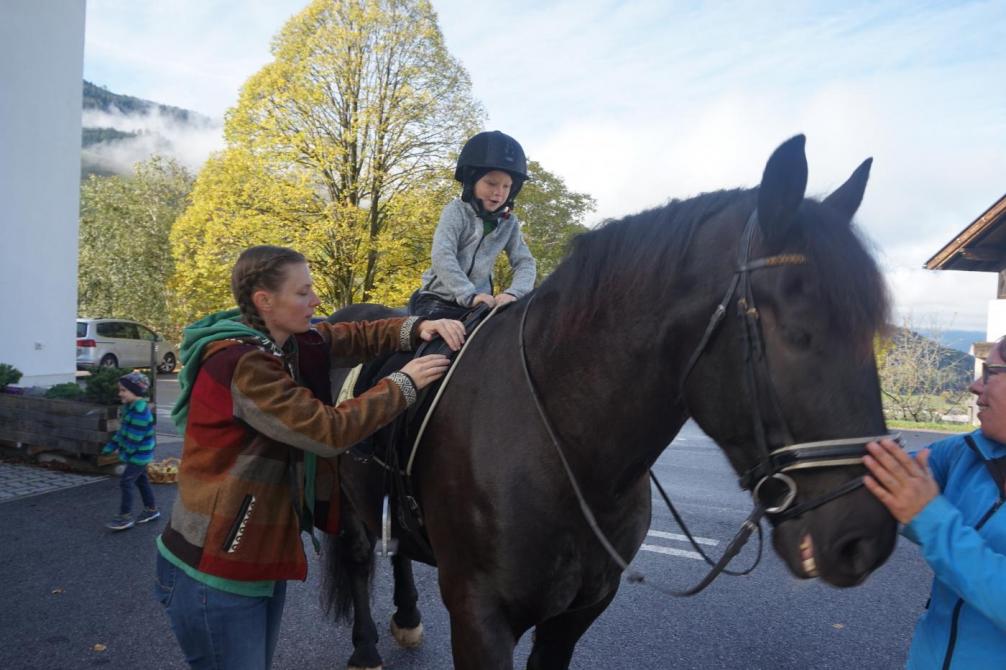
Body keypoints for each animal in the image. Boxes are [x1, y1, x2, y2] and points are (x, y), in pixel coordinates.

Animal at [319, 135, 897, 667]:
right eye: (797, 333)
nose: (863, 539)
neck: (565, 445)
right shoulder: (479, 618)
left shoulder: (577, 614)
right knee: (357, 555)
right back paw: (366, 647)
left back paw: (407, 618)